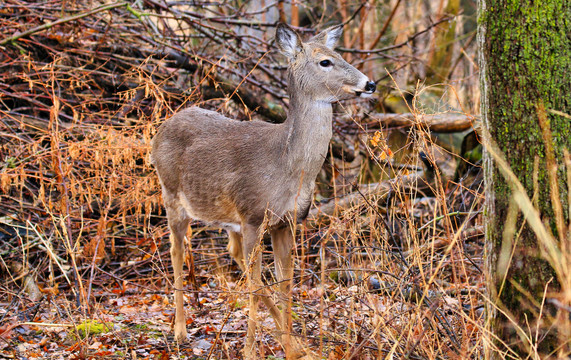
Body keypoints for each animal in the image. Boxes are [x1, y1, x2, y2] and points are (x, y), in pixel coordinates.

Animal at [151, 23, 376, 358]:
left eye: (340, 55)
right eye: (325, 62)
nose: (370, 83)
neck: (286, 166)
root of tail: (163, 127)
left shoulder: (288, 221)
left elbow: (285, 284)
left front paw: (296, 347)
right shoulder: (254, 216)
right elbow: (257, 286)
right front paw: (250, 350)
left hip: (229, 218)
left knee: (231, 253)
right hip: (172, 194)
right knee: (177, 250)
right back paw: (179, 330)